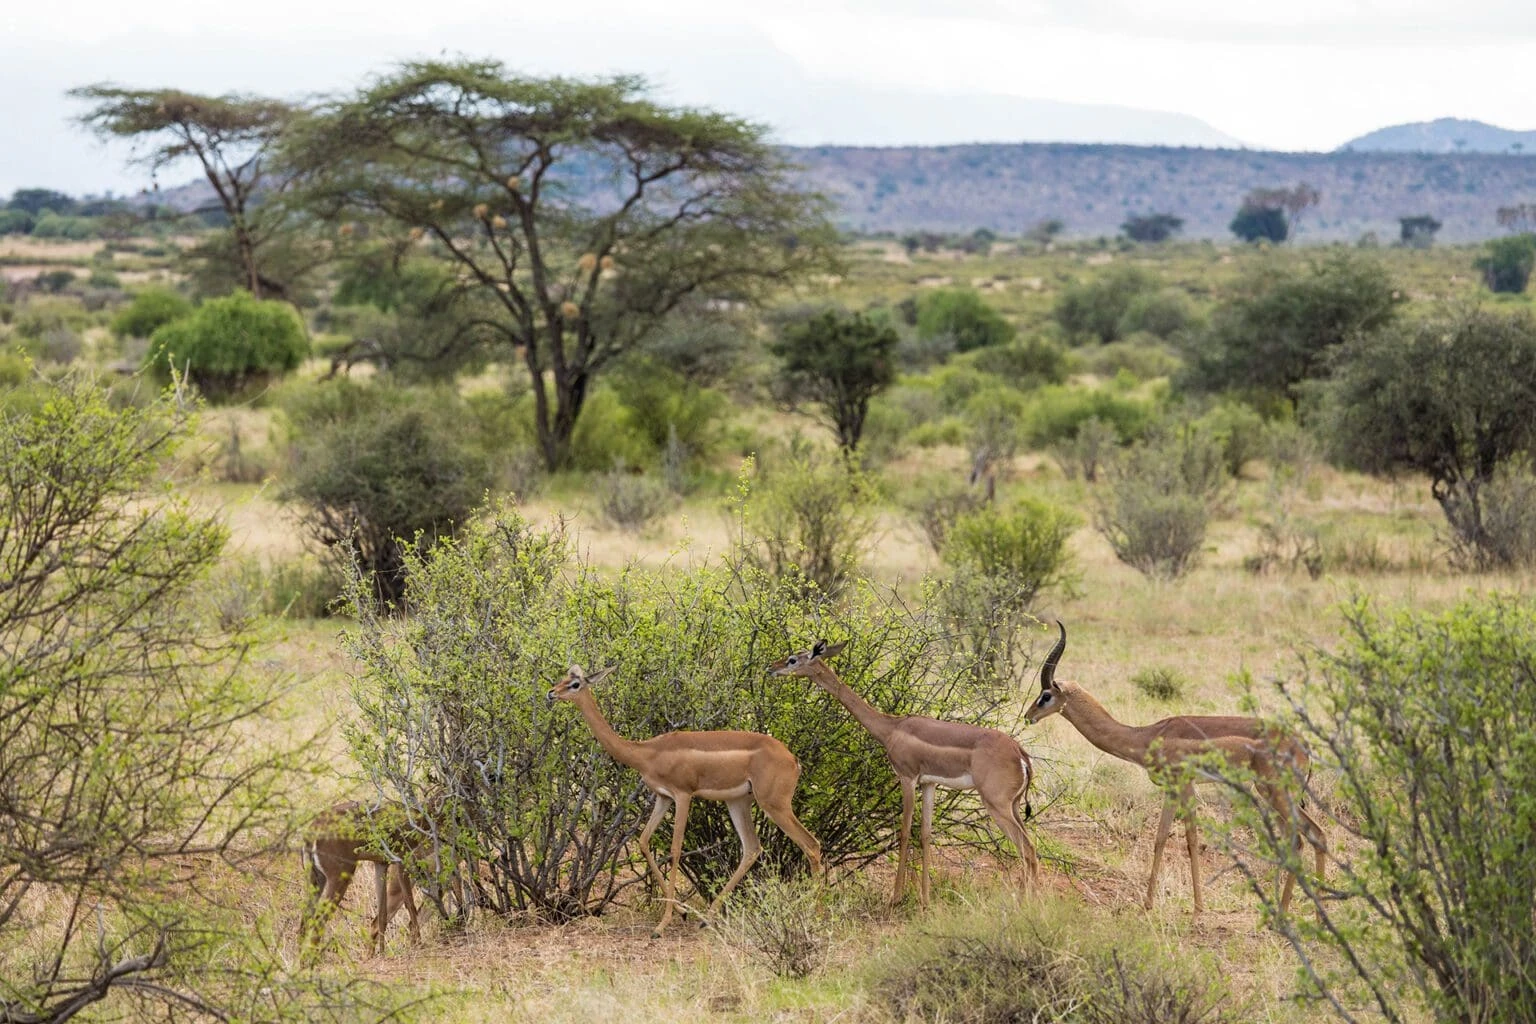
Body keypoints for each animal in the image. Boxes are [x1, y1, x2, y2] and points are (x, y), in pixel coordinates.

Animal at [1026, 620, 1327, 914]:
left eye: (1045, 695)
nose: (1029, 716)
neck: (1146, 735)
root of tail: (1303, 745)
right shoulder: (1171, 789)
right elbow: (1160, 837)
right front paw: (1148, 903)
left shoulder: (1185, 784)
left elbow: (1191, 839)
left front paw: (1198, 907)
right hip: (1272, 794)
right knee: (1312, 837)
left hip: (1275, 793)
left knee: (1302, 840)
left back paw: (1289, 910)